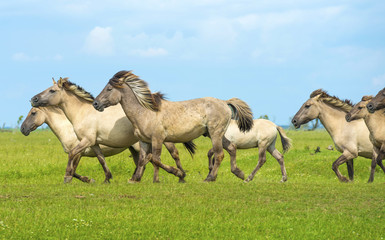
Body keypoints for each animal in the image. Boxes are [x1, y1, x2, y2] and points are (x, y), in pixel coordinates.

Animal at [29, 78, 195, 183]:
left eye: (52, 91)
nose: (33, 99)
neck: (82, 113)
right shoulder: (94, 143)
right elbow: (101, 159)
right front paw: (106, 178)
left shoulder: (85, 142)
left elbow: (72, 156)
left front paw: (68, 177)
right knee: (145, 159)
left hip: (161, 140)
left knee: (171, 154)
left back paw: (177, 176)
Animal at [92, 70, 254, 181]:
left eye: (109, 89)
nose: (95, 104)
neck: (145, 112)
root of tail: (224, 102)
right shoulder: (144, 141)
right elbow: (144, 159)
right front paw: (136, 179)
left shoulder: (157, 139)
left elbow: (155, 159)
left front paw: (178, 174)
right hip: (213, 134)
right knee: (231, 148)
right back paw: (240, 173)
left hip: (215, 134)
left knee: (220, 154)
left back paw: (210, 178)